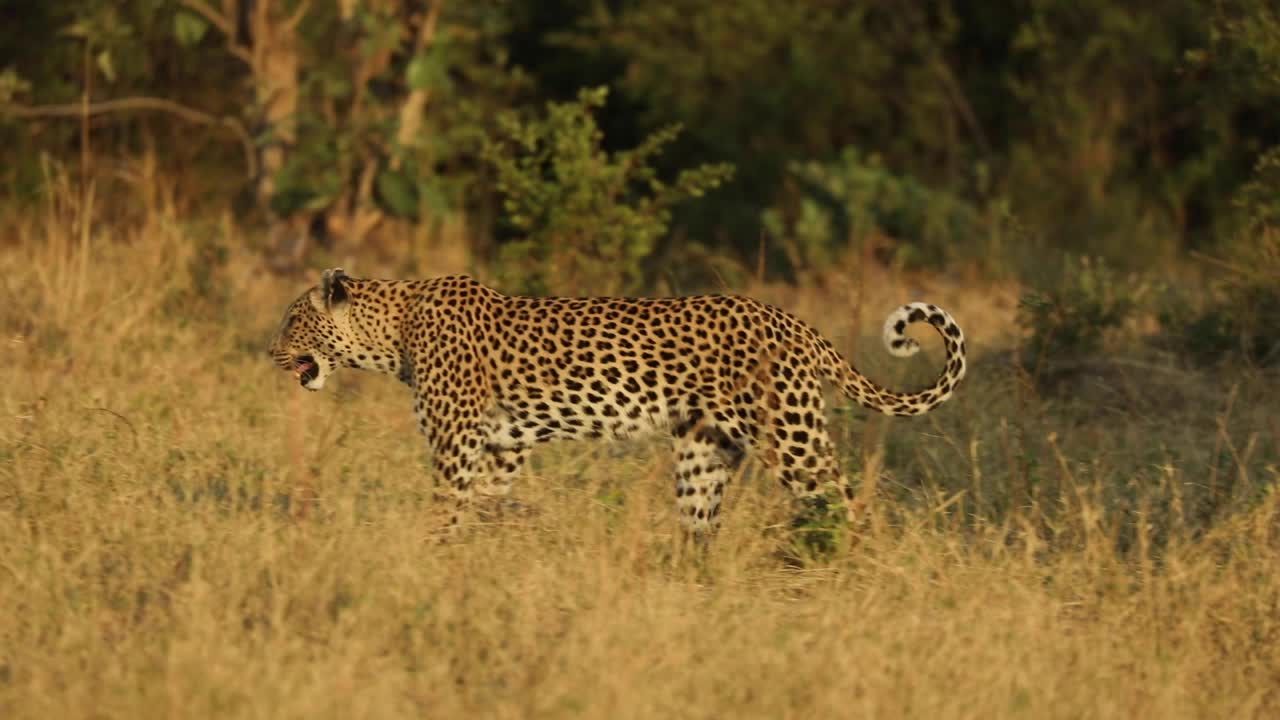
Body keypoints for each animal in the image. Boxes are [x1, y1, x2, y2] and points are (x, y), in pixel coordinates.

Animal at [268, 268, 967, 534]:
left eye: (292, 320)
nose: (268, 350)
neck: (393, 331)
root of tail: (791, 320)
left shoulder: (458, 443)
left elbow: (445, 506)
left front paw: (430, 555)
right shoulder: (501, 447)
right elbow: (481, 507)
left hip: (791, 438)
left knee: (847, 506)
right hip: (703, 452)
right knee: (701, 526)